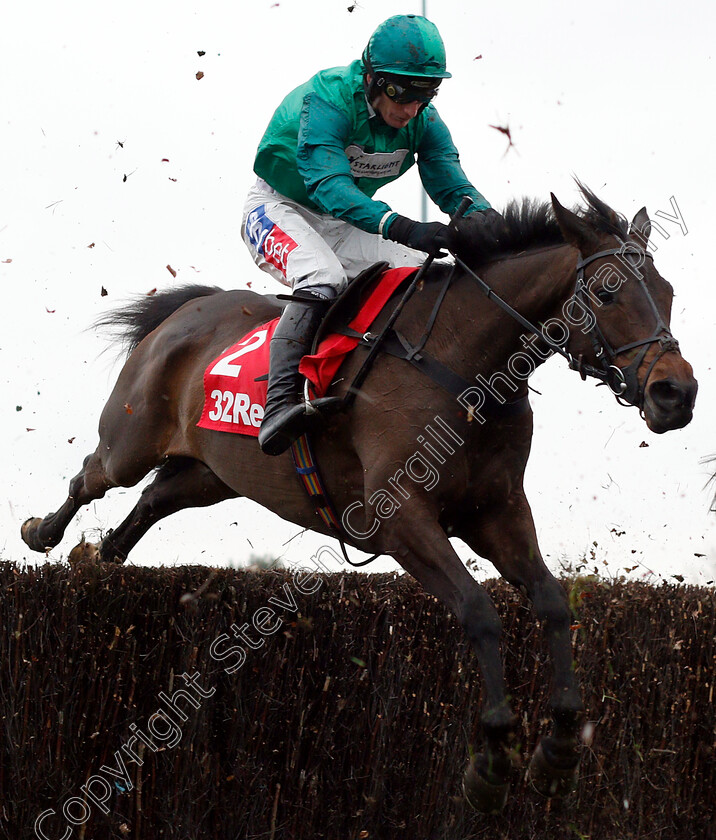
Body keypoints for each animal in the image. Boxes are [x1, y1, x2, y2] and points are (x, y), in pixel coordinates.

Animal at [22, 189, 700, 808]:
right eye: (608, 294)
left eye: (667, 292)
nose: (676, 394)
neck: (462, 364)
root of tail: (189, 309)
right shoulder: (402, 519)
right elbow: (479, 611)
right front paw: (491, 760)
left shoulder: (497, 513)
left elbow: (554, 604)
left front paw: (557, 751)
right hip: (133, 437)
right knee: (93, 475)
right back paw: (44, 533)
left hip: (214, 475)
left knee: (153, 501)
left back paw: (102, 559)